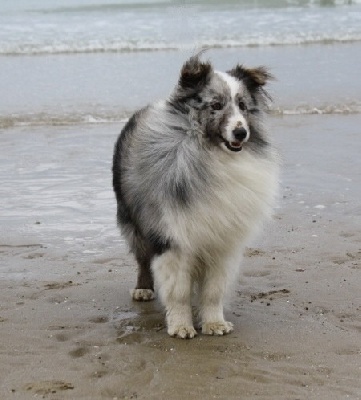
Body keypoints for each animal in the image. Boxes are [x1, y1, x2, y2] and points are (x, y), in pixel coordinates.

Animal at [112, 54, 278, 340]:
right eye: (216, 105)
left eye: (243, 106)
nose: (241, 133)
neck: (209, 154)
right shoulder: (173, 238)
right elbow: (178, 291)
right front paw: (181, 326)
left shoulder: (222, 241)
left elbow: (213, 290)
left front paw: (214, 323)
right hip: (134, 222)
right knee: (142, 259)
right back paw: (143, 289)